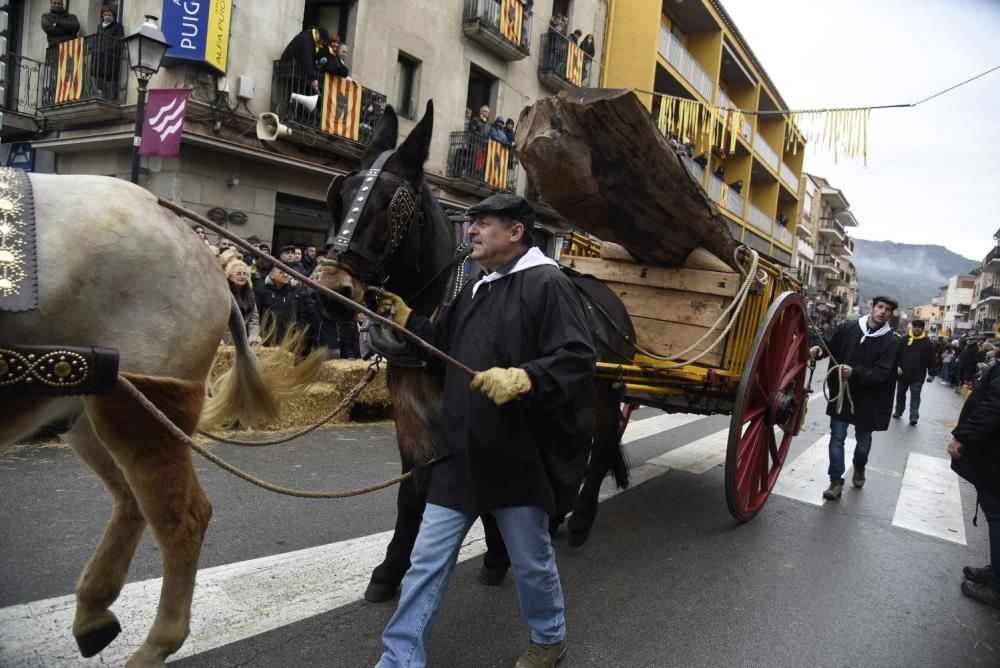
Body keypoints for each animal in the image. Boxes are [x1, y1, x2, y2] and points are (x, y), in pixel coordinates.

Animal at [316, 100, 636, 600]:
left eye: (391, 204)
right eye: (342, 194)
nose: (333, 288)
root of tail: (609, 299)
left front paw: (498, 552)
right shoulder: (411, 411)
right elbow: (412, 493)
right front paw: (391, 570)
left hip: (603, 392)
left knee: (599, 448)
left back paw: (580, 519)